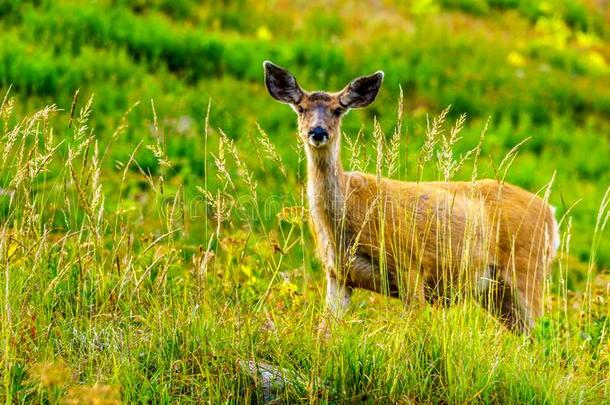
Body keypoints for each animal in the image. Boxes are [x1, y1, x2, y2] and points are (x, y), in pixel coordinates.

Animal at [262, 60, 556, 332]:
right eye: (301, 108)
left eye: (337, 110)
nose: (318, 132)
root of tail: (550, 214)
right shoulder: (338, 275)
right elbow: (324, 332)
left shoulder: (411, 266)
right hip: (495, 291)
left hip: (527, 269)